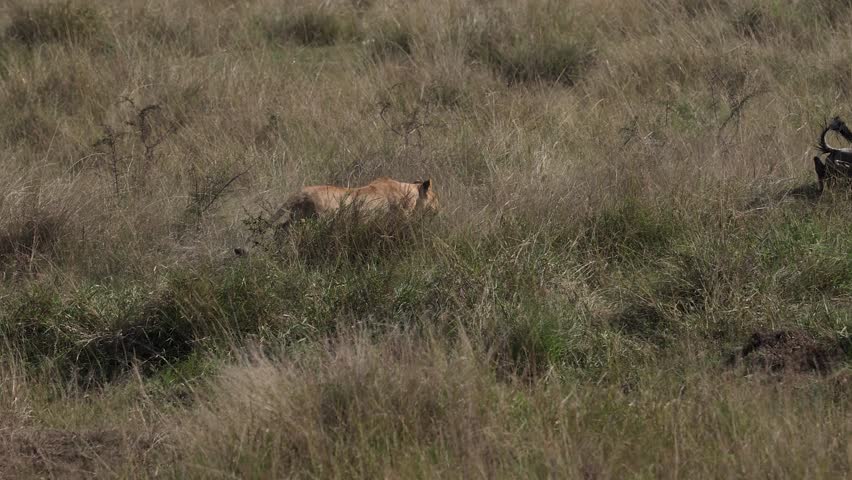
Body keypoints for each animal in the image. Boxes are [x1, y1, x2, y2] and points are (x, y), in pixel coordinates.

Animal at [235, 177, 437, 256]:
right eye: (435, 197)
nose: (438, 209)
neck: (410, 192)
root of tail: (301, 192)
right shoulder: (397, 221)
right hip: (315, 221)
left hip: (296, 218)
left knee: (280, 229)